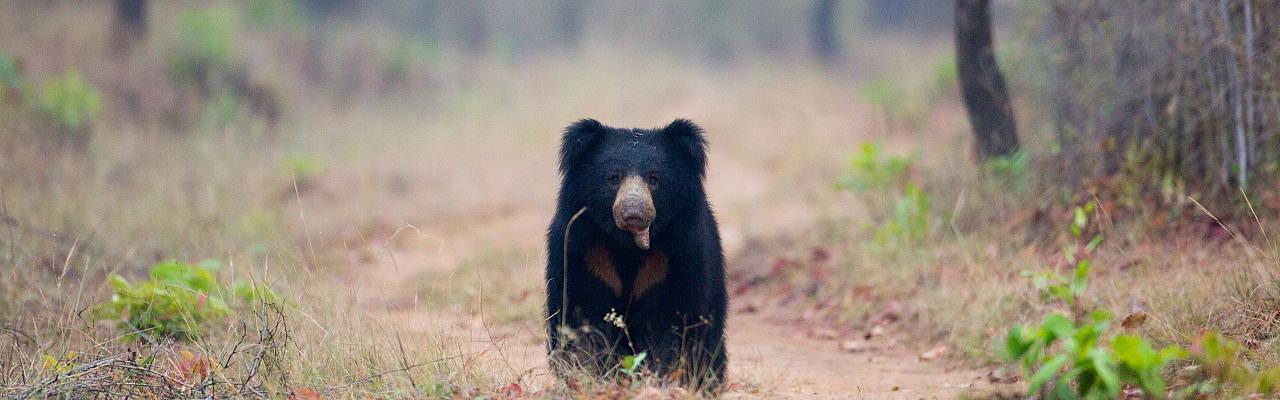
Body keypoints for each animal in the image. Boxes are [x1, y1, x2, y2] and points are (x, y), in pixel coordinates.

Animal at [545, 117, 727, 387]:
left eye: (654, 179)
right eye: (613, 178)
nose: (633, 212)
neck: (627, 245)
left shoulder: (680, 251)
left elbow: (673, 319)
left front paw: (662, 377)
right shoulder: (582, 250)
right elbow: (580, 312)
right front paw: (590, 373)